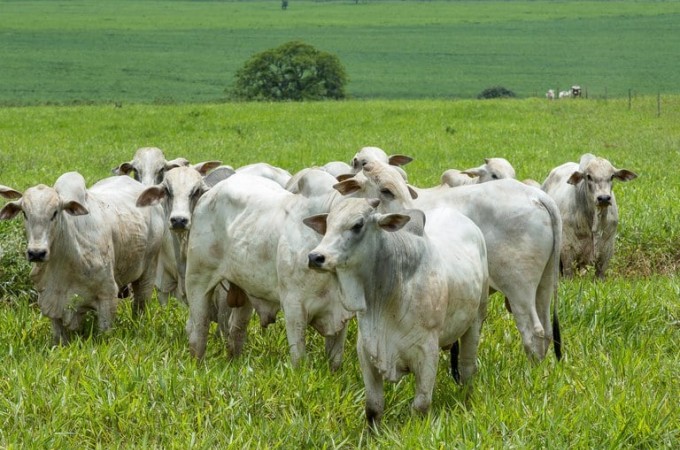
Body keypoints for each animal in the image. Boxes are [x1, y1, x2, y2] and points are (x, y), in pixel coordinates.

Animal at [0, 173, 164, 344]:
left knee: (140, 304)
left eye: (55, 213)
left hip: (148, 271)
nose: (36, 253)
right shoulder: (50, 301)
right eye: (24, 213)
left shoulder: (108, 296)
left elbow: (105, 334)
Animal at [186, 171, 356, 368]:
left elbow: (335, 360)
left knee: (236, 331)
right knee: (199, 330)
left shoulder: (340, 315)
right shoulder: (293, 306)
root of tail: (209, 193)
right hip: (197, 280)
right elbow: (299, 358)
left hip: (244, 291)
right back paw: (197, 364)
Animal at [304, 198, 488, 426]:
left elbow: (421, 406)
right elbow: (373, 408)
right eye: (328, 224)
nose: (315, 257)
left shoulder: (427, 352)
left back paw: (466, 400)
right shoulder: (366, 351)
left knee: (467, 368)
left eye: (358, 225)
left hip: (476, 320)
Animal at [336, 162, 564, 362]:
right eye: (385, 190)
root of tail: (537, 195)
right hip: (544, 285)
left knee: (533, 332)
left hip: (519, 288)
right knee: (546, 331)